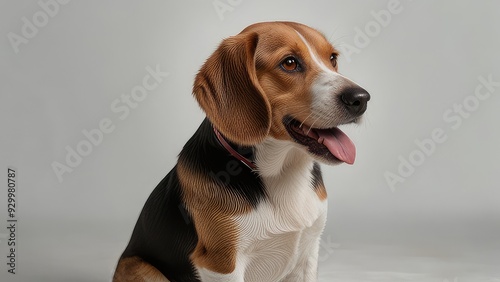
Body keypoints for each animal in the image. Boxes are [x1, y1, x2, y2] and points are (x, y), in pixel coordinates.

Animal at [114, 20, 372, 280]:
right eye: (289, 63)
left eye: (332, 58)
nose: (361, 98)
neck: (282, 172)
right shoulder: (221, 264)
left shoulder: (308, 255)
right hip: (138, 266)